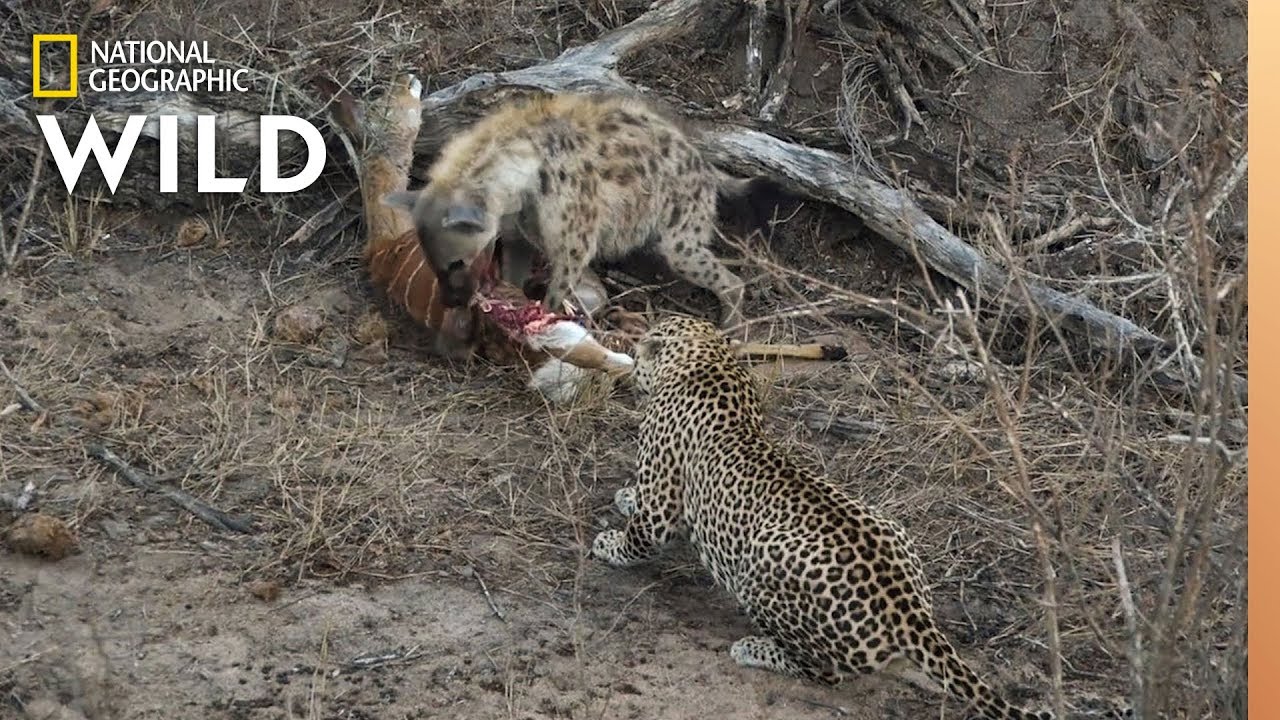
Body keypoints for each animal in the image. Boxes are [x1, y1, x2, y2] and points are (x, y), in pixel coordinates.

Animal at [381, 92, 767, 334]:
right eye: (434, 264)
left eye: (458, 263)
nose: (450, 301)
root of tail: (704, 163)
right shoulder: (517, 232)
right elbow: (515, 274)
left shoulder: (575, 237)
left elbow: (558, 288)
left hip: (682, 234)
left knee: (728, 278)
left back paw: (734, 330)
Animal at [590, 315, 1132, 720]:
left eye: (641, 349)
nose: (628, 367)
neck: (710, 359)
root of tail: (910, 613)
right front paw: (624, 496)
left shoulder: (664, 494)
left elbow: (644, 530)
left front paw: (609, 543)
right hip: (893, 528)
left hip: (762, 566)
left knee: (826, 670)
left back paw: (754, 649)